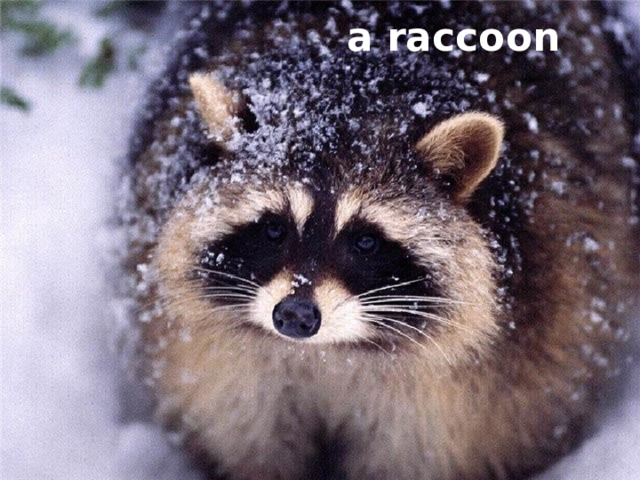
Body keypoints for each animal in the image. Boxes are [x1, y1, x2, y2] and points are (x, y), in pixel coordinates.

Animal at [118, 2, 640, 479]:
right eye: (273, 228)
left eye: (365, 241)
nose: (295, 316)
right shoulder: (223, 369)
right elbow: (249, 440)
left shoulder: (482, 385)